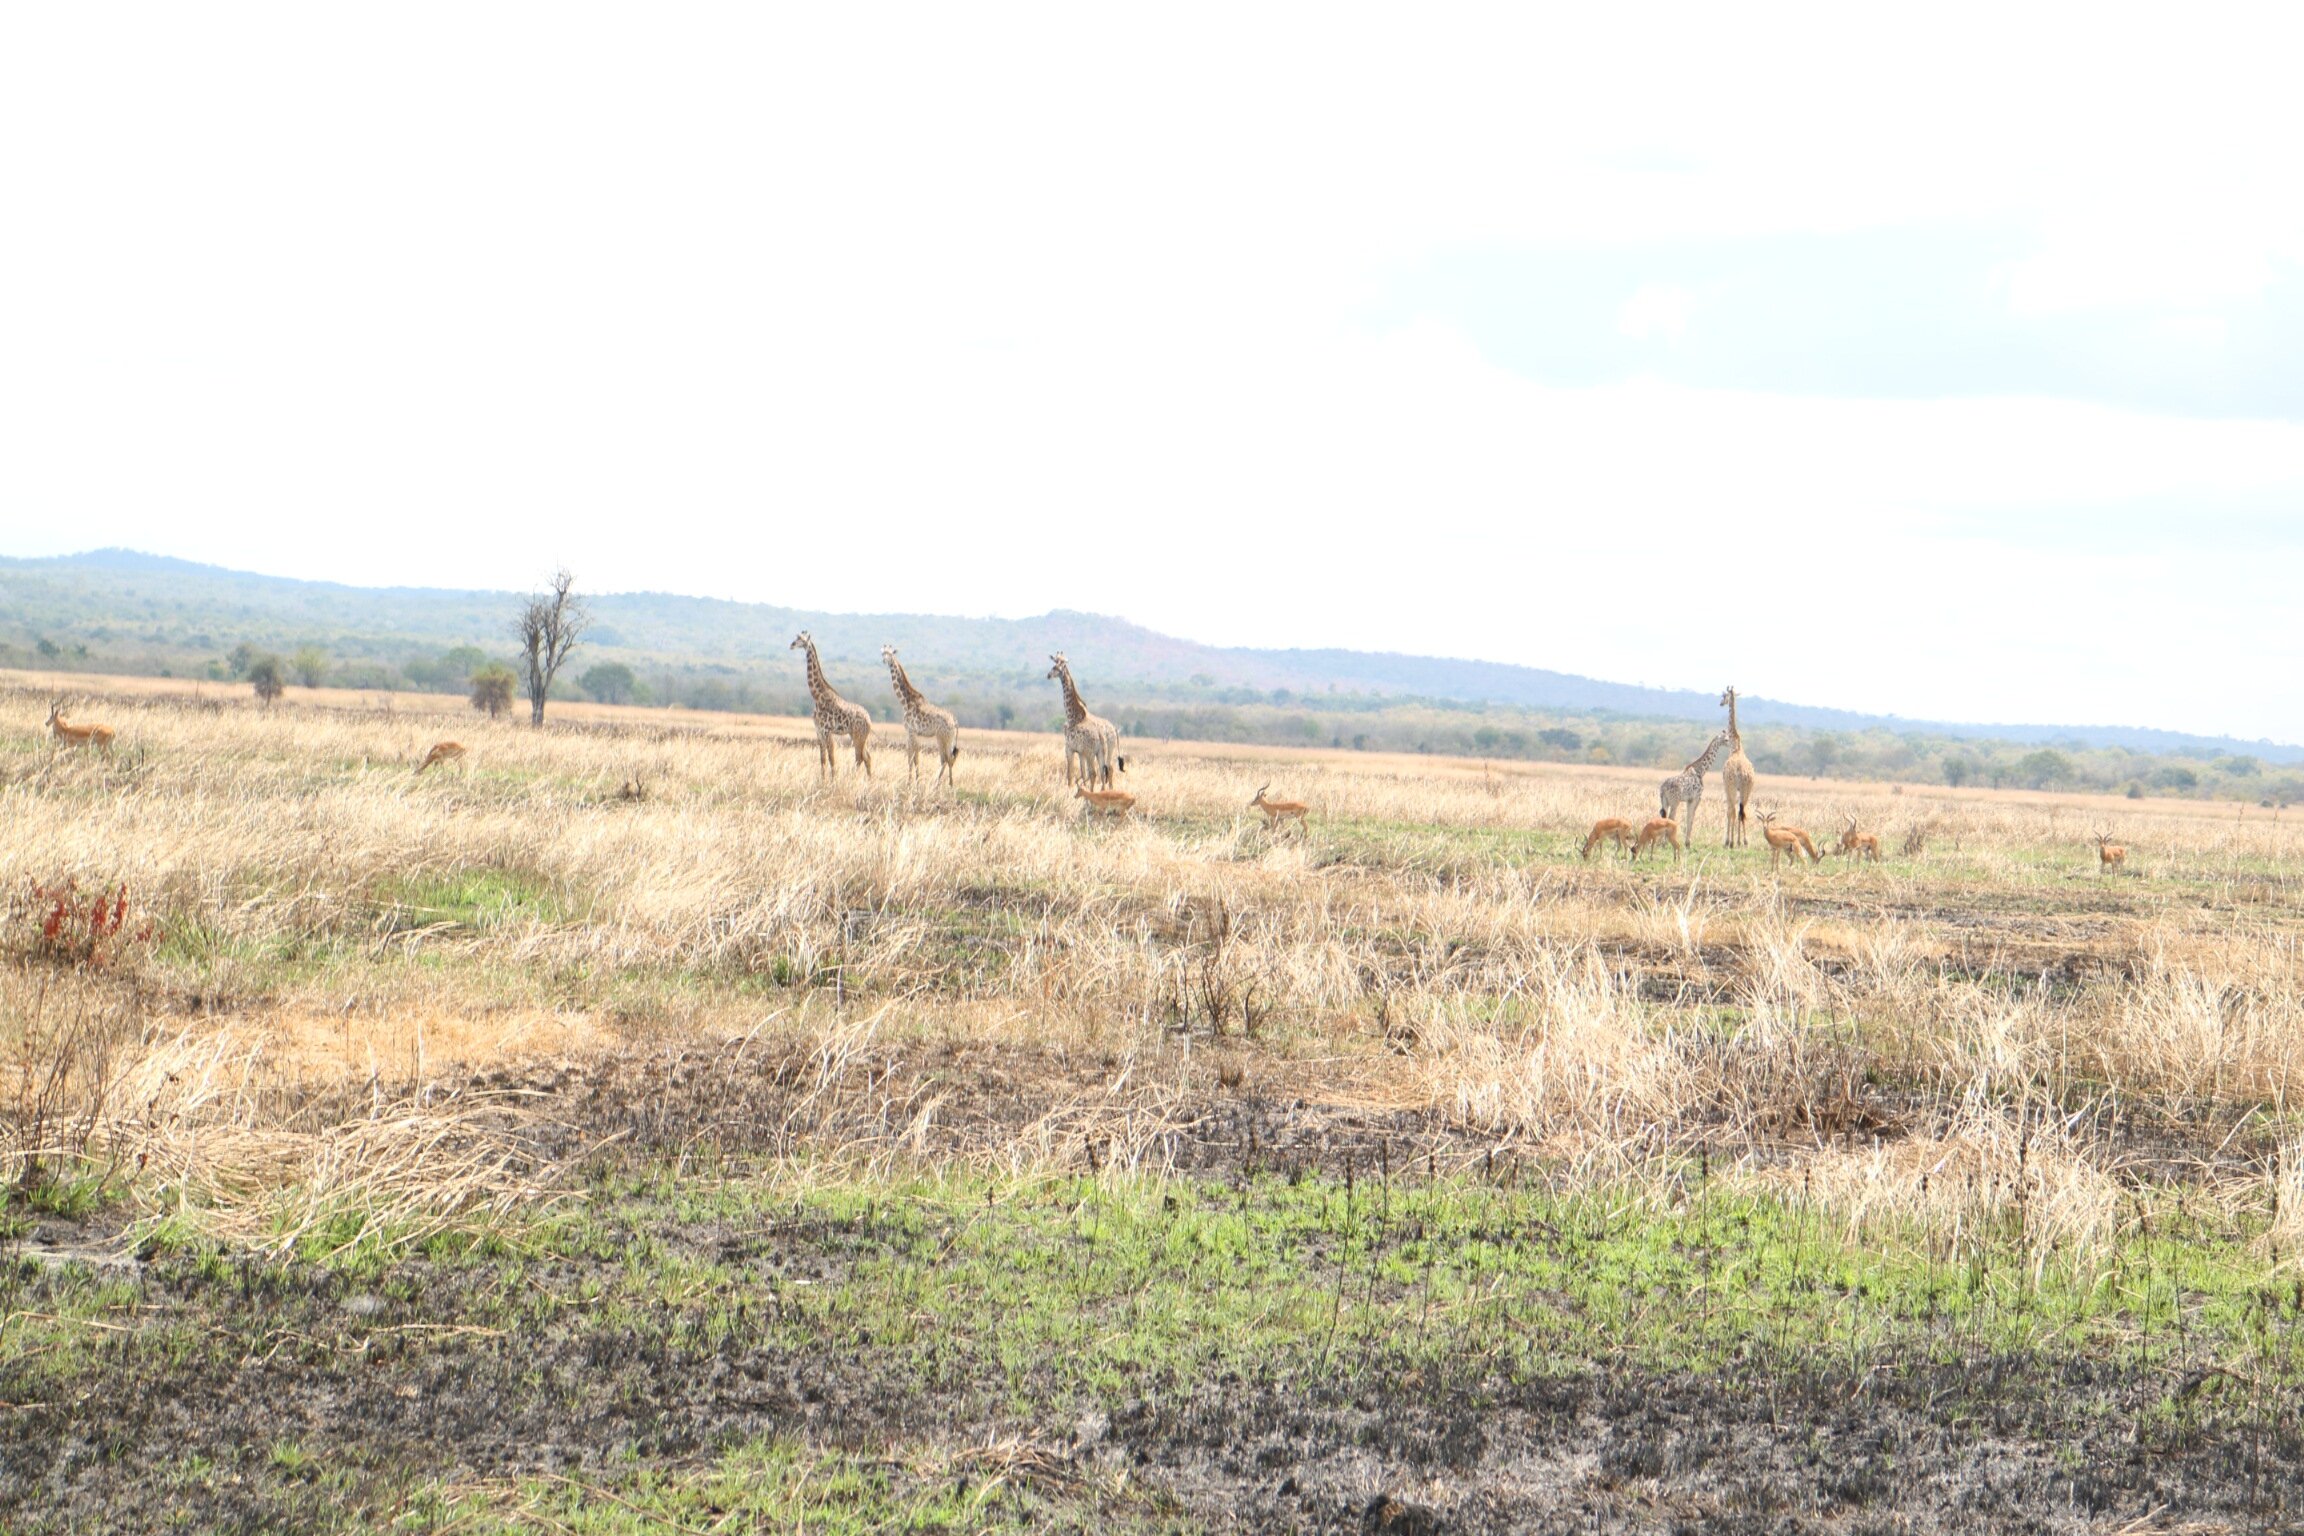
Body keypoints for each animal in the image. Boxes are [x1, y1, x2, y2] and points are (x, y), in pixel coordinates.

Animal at [790, 631, 873, 778]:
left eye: (801, 639)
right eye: (796, 636)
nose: (791, 645)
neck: (817, 696)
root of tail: (869, 719)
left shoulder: (827, 731)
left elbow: (832, 758)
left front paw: (833, 780)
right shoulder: (819, 732)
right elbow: (822, 759)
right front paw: (823, 780)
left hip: (859, 736)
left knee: (860, 757)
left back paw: (854, 779)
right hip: (858, 736)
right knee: (866, 757)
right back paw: (869, 781)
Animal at [882, 646, 959, 785]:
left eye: (890, 654)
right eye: (882, 653)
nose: (884, 661)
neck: (905, 702)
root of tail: (955, 722)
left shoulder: (911, 731)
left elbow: (914, 757)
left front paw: (914, 782)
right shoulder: (911, 733)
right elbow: (911, 757)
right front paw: (912, 781)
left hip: (942, 738)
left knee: (946, 759)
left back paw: (942, 784)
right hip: (949, 739)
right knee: (949, 758)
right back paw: (943, 784)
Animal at [1046, 652, 1120, 788]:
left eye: (1056, 667)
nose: (1048, 675)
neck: (1073, 717)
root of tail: (1112, 731)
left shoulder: (1069, 749)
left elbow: (1070, 774)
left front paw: (1069, 790)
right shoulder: (1080, 752)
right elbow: (1082, 773)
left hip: (1093, 752)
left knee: (1096, 773)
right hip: (1102, 752)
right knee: (1105, 770)